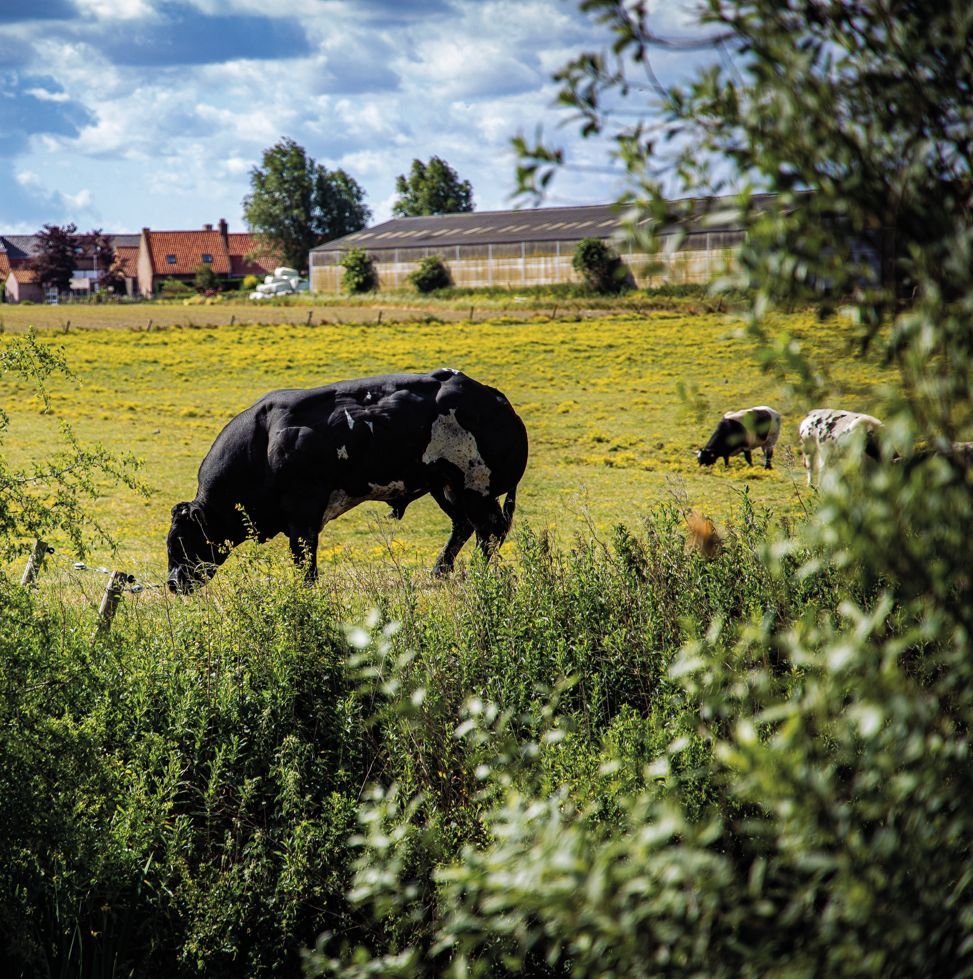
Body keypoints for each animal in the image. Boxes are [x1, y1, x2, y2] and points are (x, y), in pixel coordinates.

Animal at [166, 369, 529, 593]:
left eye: (180, 542)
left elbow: (305, 562)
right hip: (446, 489)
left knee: (488, 532)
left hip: (474, 489)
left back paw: (479, 574)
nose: (172, 583)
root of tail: (494, 397)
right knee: (465, 527)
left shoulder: (303, 518)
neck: (264, 443)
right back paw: (440, 571)